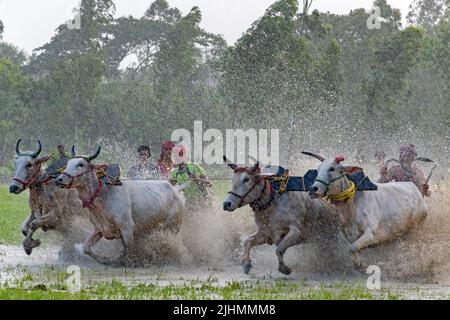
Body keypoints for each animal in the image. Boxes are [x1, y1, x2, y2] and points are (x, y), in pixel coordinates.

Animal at [56, 146, 185, 266]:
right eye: (68, 163)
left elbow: (126, 251)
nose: (59, 179)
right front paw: (106, 260)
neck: (103, 194)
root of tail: (176, 190)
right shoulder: (99, 228)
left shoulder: (127, 228)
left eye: (80, 164)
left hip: (173, 226)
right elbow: (86, 248)